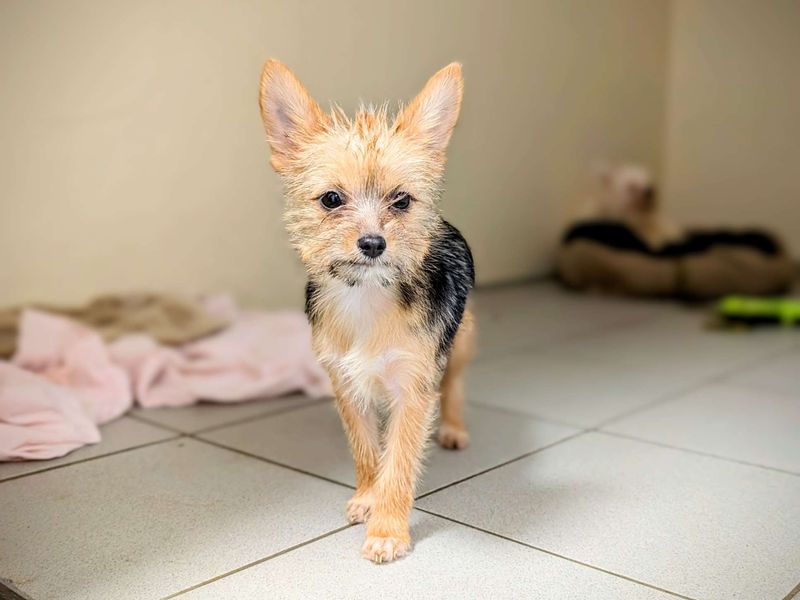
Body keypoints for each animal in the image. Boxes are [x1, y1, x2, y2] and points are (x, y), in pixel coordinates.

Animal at [260, 61, 476, 564]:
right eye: (331, 199)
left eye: (402, 200)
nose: (374, 243)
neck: (366, 297)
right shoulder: (346, 386)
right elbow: (366, 450)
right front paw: (368, 495)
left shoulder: (413, 390)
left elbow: (398, 462)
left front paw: (388, 528)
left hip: (463, 336)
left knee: (455, 382)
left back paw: (454, 428)